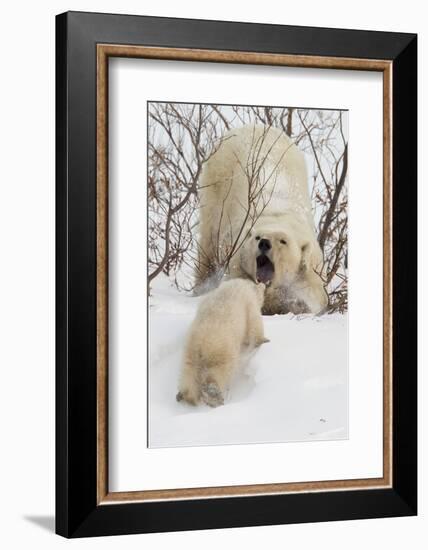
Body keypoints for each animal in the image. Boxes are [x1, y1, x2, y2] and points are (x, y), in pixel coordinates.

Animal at [196, 124, 328, 314]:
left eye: (283, 241)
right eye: (257, 237)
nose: (264, 243)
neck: (278, 216)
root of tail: (249, 126)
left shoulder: (310, 269)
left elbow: (313, 296)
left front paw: (294, 304)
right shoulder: (238, 258)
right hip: (216, 184)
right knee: (209, 241)